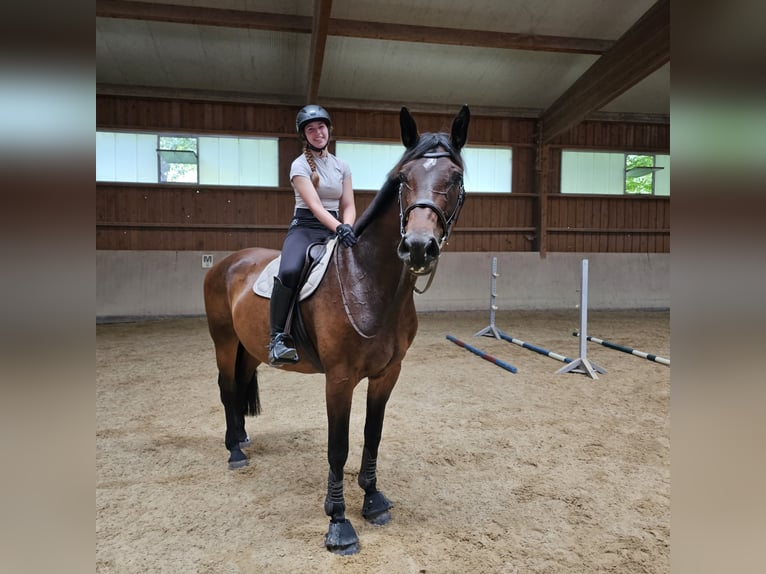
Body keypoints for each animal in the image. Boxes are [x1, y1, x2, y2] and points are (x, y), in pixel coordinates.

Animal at [202, 106, 468, 556]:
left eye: (456, 177)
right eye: (403, 178)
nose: (417, 246)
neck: (370, 280)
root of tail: (229, 261)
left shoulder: (387, 374)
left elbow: (372, 435)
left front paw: (373, 500)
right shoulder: (339, 379)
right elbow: (338, 447)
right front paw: (339, 522)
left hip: (249, 347)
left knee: (239, 384)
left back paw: (242, 438)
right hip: (223, 340)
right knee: (226, 387)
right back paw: (234, 451)